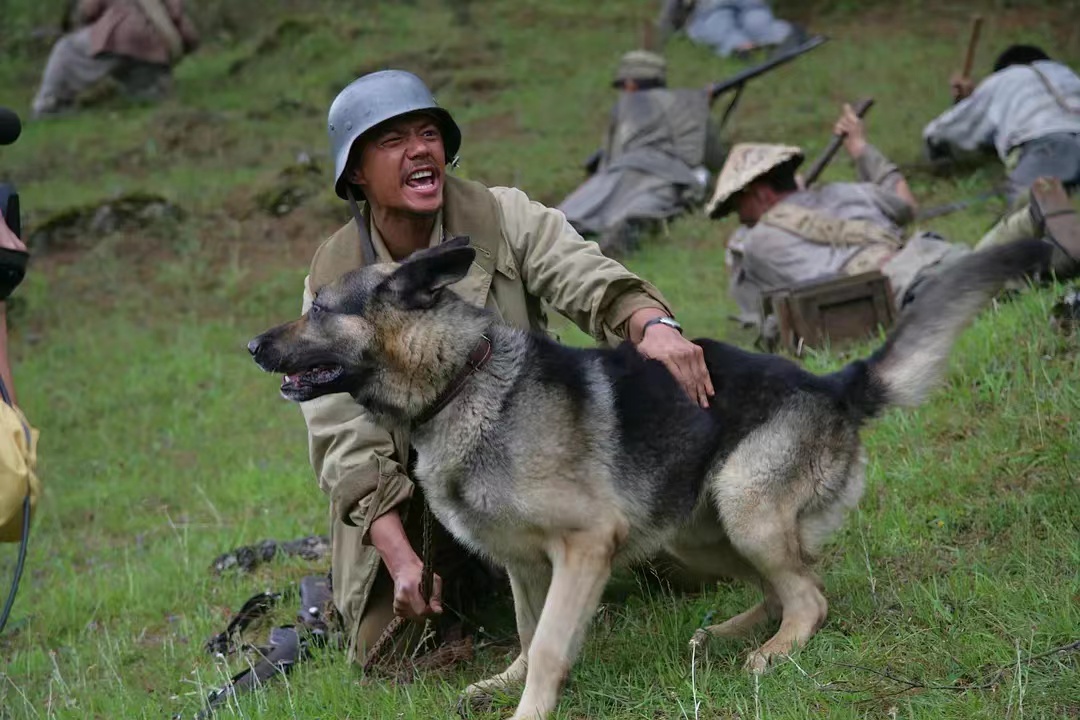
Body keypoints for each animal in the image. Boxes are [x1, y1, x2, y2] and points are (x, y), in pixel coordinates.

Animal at [250, 237, 1045, 720]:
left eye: (317, 308)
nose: (252, 345)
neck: (462, 382)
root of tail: (833, 382)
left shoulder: (585, 547)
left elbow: (548, 643)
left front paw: (529, 707)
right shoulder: (526, 565)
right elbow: (528, 630)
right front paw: (506, 684)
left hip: (742, 506)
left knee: (810, 594)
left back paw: (773, 650)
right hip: (698, 528)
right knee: (785, 583)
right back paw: (726, 630)